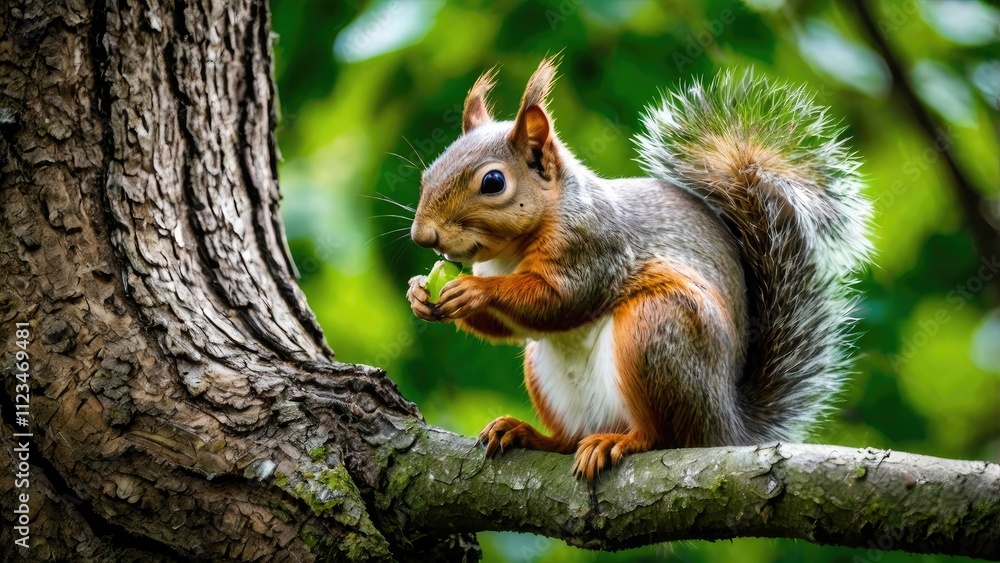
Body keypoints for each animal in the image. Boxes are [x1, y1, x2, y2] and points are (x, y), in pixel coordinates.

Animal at [406, 57, 872, 481]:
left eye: (493, 182)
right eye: (427, 174)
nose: (423, 236)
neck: (511, 253)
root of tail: (727, 427)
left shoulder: (594, 246)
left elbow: (561, 299)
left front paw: (472, 292)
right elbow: (508, 327)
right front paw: (419, 293)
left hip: (658, 329)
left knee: (663, 436)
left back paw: (619, 441)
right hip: (548, 374)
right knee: (569, 440)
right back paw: (526, 434)